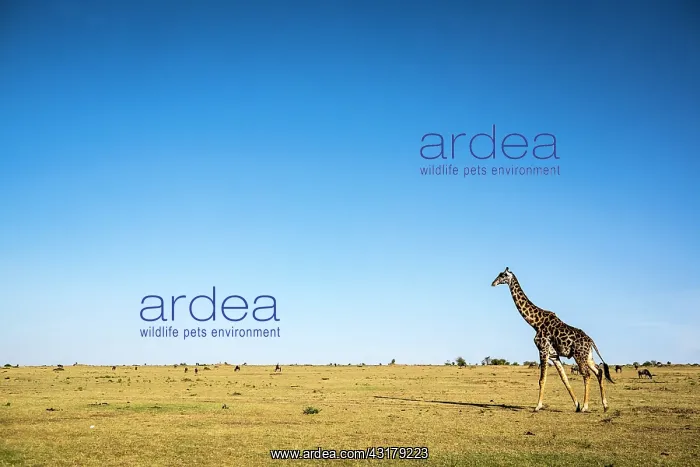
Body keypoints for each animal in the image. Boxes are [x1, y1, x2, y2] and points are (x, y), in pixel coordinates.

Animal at [491, 267, 614, 412]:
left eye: (503, 275)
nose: (493, 283)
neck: (535, 322)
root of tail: (591, 341)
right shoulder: (554, 355)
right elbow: (564, 379)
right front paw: (576, 405)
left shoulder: (543, 350)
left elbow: (542, 379)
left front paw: (538, 406)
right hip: (588, 356)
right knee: (599, 372)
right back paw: (605, 406)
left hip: (579, 356)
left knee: (587, 375)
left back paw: (586, 407)